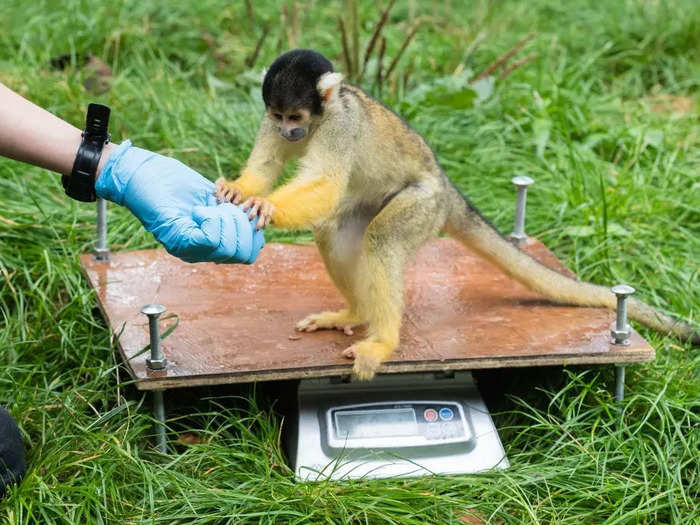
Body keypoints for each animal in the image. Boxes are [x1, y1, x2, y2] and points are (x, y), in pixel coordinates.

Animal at [216, 49, 696, 378]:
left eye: (296, 115)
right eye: (279, 115)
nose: (288, 132)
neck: (319, 120)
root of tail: (447, 190)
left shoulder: (340, 125)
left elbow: (329, 182)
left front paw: (267, 206)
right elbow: (266, 166)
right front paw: (239, 190)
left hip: (422, 204)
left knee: (382, 238)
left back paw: (382, 341)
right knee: (335, 231)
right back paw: (355, 314)